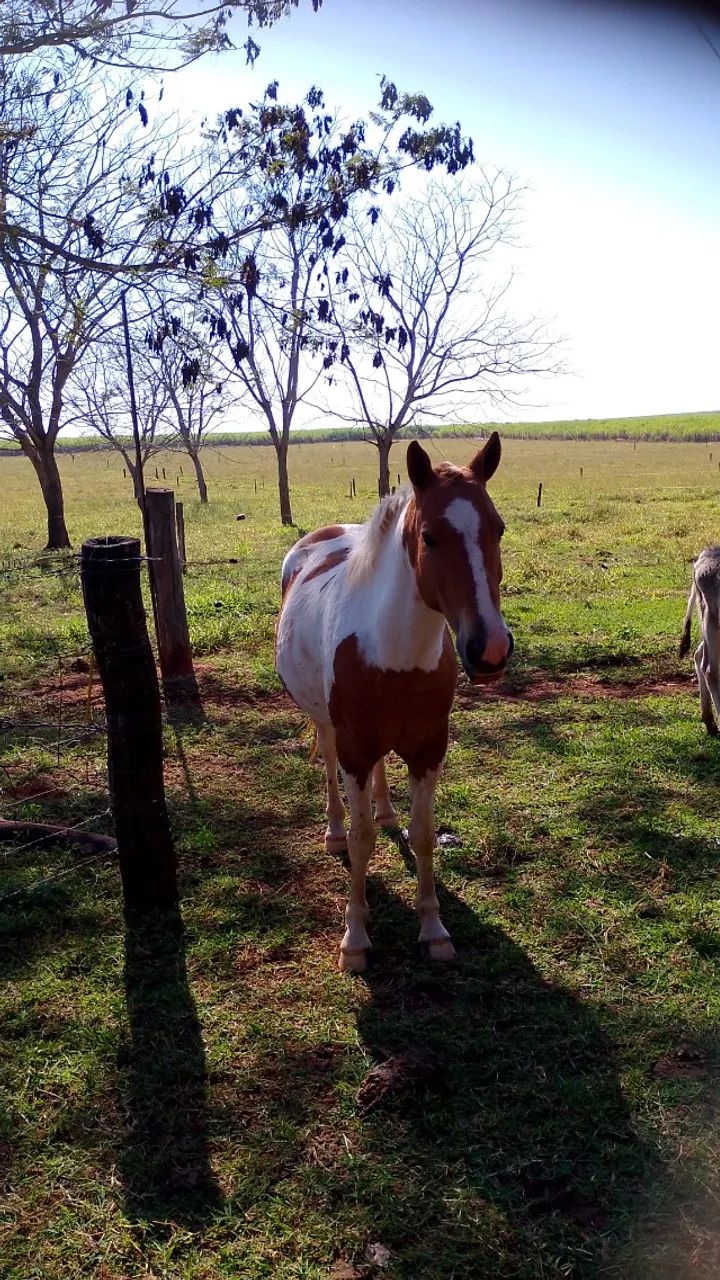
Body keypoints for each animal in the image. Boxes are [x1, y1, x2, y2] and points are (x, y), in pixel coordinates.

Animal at [275, 435, 513, 971]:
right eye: (429, 537)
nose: (489, 649)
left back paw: (384, 810)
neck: (395, 653)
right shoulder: (355, 750)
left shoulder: (428, 750)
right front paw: (356, 939)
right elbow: (362, 841)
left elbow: (422, 834)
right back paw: (333, 831)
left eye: (498, 528)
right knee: (329, 771)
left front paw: (434, 931)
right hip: (327, 726)